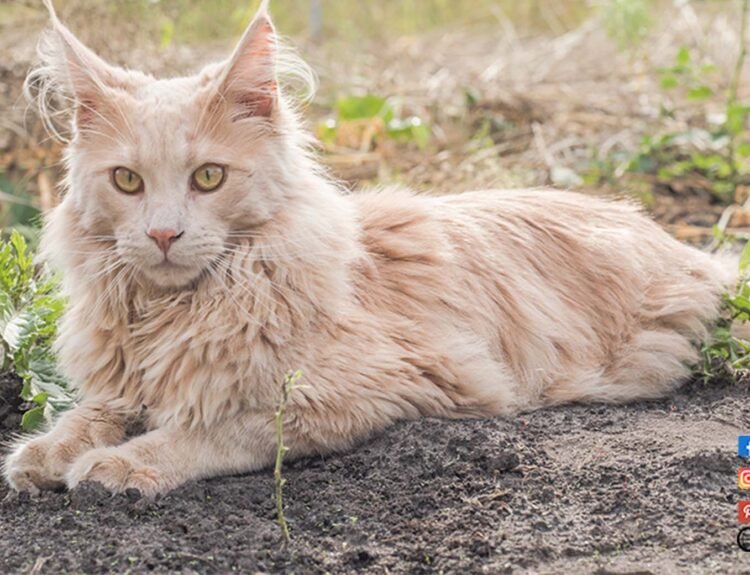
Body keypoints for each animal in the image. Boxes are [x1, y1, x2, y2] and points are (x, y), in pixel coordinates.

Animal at [2, 0, 736, 496]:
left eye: (208, 177)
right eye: (127, 181)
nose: (161, 234)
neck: (170, 313)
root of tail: (687, 245)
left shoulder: (370, 387)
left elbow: (214, 428)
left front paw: (122, 463)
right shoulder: (123, 380)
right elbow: (93, 411)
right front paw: (46, 451)